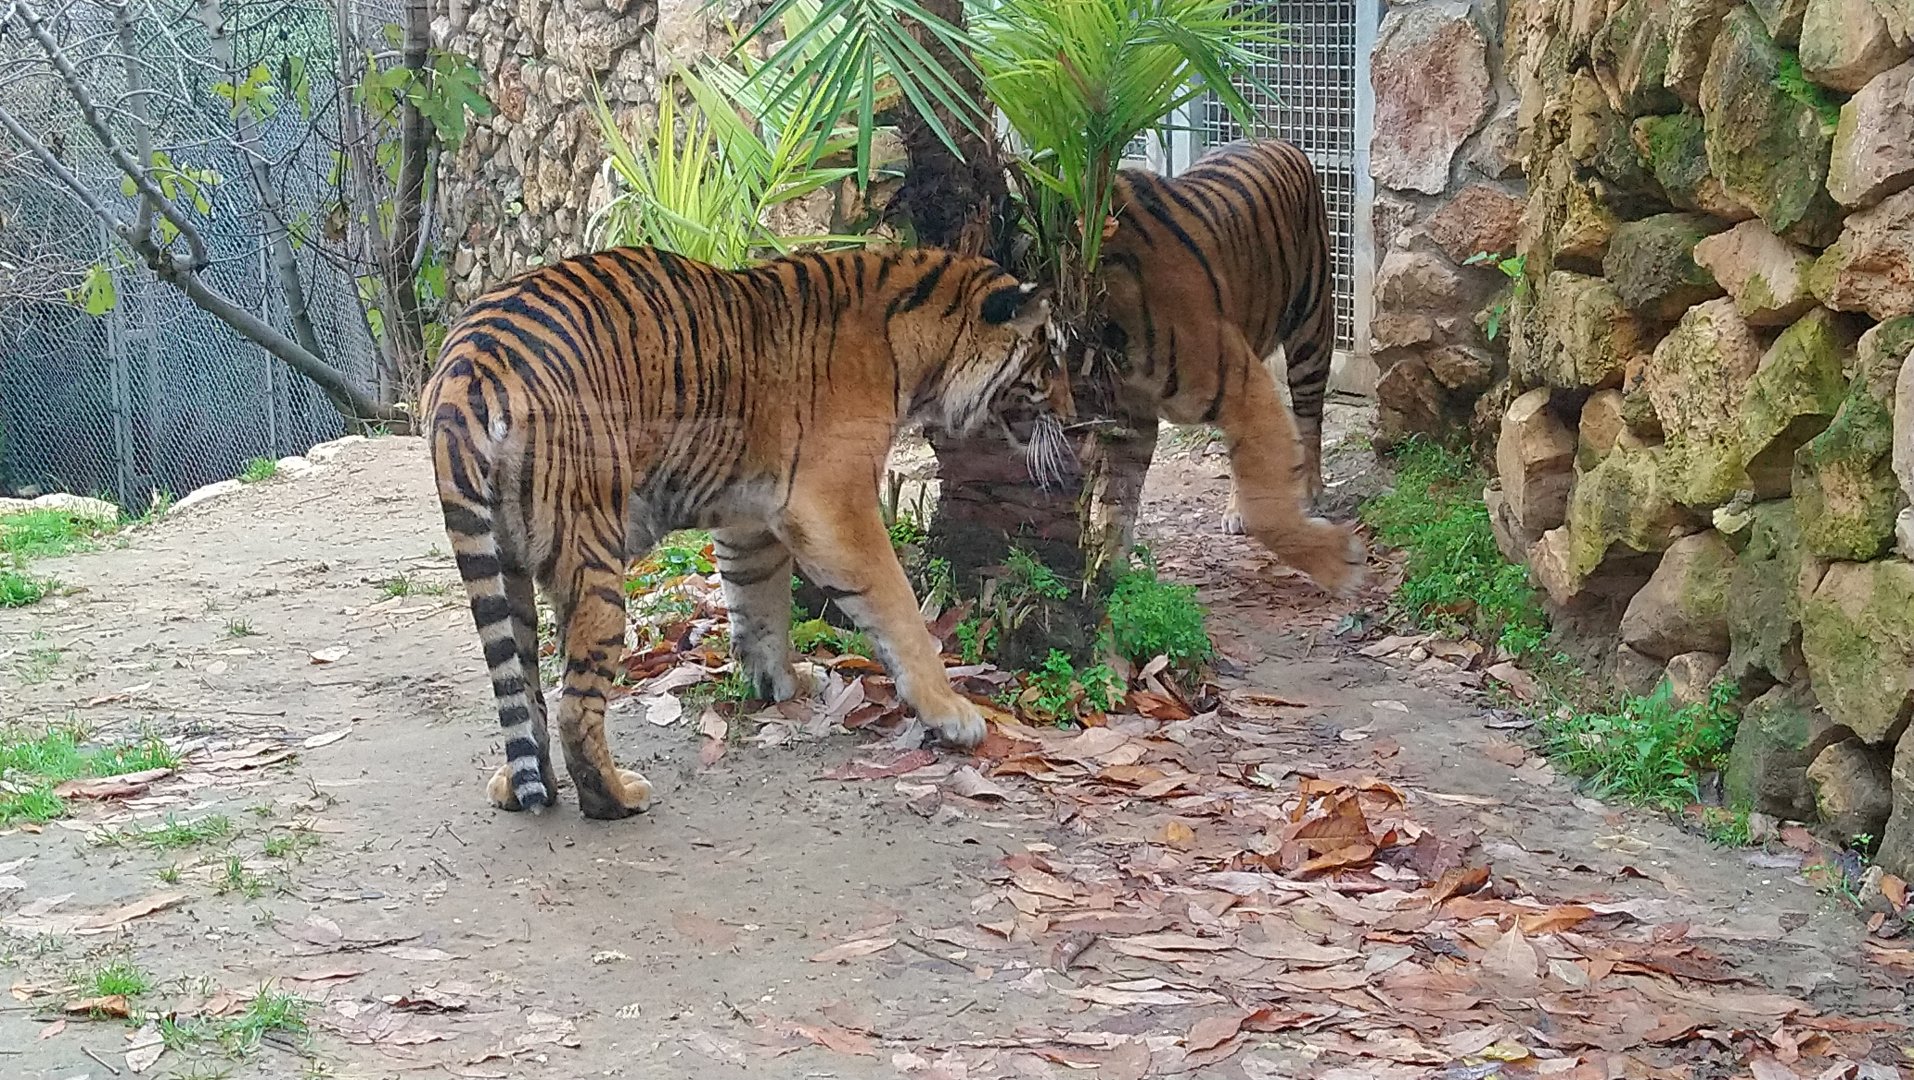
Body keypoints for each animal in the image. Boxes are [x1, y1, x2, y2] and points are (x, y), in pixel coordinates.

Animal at [422, 246, 1053, 819]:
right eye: (1050, 361)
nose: (1072, 415)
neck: (917, 345)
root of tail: (466, 365)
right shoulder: (835, 508)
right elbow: (899, 612)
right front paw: (951, 712)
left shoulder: (750, 521)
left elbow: (759, 607)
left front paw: (779, 682)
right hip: (591, 552)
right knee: (575, 706)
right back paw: (618, 798)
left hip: (505, 564)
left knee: (523, 686)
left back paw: (519, 786)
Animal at [1098, 138, 1365, 595]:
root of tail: (1276, 138)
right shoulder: (1129, 417)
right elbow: (1118, 498)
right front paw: (1109, 572)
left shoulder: (1239, 381)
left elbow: (1269, 507)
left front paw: (1338, 560)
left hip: (1311, 331)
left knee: (1309, 421)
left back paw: (1309, 490)